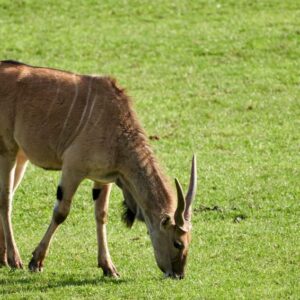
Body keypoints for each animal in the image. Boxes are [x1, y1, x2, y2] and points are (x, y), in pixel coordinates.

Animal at [0, 60, 197, 278]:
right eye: (178, 243)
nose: (178, 274)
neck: (117, 127)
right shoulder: (72, 168)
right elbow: (61, 212)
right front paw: (36, 261)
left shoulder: (103, 179)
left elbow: (101, 215)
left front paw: (108, 267)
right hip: (7, 151)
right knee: (6, 199)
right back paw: (14, 259)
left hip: (21, 157)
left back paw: (3, 258)